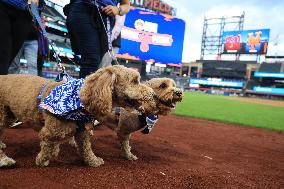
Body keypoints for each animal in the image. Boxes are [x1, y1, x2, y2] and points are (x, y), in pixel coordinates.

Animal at [0, 65, 158, 167]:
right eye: (135, 81)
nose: (153, 94)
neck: (79, 99)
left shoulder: (82, 132)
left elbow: (86, 148)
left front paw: (93, 161)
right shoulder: (50, 132)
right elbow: (47, 147)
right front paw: (41, 160)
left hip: (8, 116)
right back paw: (4, 159)